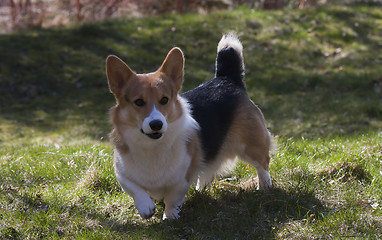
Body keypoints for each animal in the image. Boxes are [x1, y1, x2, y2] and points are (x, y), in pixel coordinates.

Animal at [104, 32, 272, 220]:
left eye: (164, 100)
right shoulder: (122, 172)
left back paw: (264, 187)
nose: (156, 124)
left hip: (251, 145)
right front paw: (145, 207)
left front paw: (169, 218)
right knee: (209, 170)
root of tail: (226, 78)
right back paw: (201, 190)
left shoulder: (181, 179)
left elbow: (172, 199)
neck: (152, 146)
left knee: (262, 164)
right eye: (138, 102)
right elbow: (135, 189)